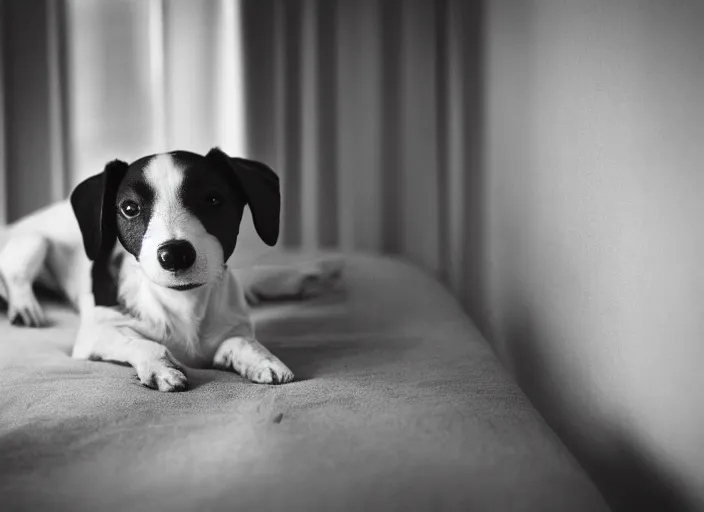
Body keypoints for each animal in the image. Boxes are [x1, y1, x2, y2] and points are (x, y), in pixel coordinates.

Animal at [0, 148, 342, 392]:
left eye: (214, 199)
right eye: (129, 208)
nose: (175, 254)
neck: (183, 304)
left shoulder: (234, 326)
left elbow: (240, 340)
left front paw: (262, 358)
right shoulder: (96, 333)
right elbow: (142, 341)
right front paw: (161, 366)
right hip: (34, 241)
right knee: (17, 278)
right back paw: (25, 308)